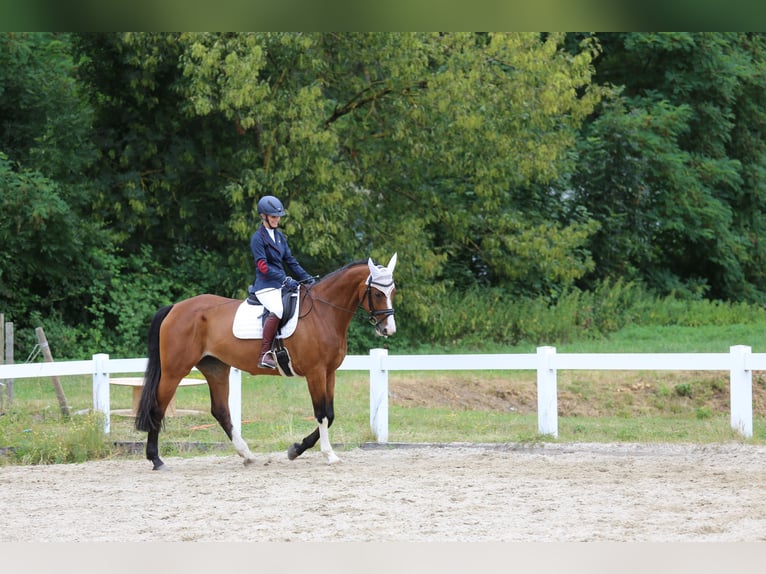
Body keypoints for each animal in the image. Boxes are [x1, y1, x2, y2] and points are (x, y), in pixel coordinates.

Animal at [135, 256, 400, 472]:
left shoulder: (329, 372)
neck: (323, 313)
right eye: (378, 293)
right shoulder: (315, 372)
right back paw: (156, 460)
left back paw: (247, 455)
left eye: (393, 291)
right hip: (175, 371)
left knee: (221, 411)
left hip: (216, 368)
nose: (388, 330)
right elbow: (321, 414)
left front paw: (296, 449)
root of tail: (176, 308)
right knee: (158, 407)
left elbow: (330, 414)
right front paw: (328, 455)